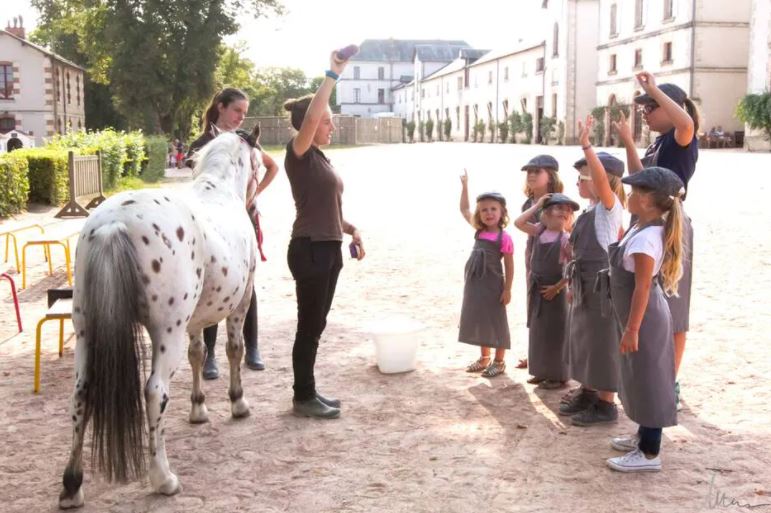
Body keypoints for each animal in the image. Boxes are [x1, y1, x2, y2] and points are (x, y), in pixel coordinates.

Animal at [58, 129, 262, 508]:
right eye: (258, 163)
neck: (218, 189)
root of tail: (114, 224)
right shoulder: (240, 304)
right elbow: (234, 350)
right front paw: (238, 403)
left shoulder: (194, 323)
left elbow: (199, 354)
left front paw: (198, 409)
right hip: (167, 334)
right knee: (154, 392)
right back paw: (163, 478)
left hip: (86, 332)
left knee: (81, 394)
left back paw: (72, 487)